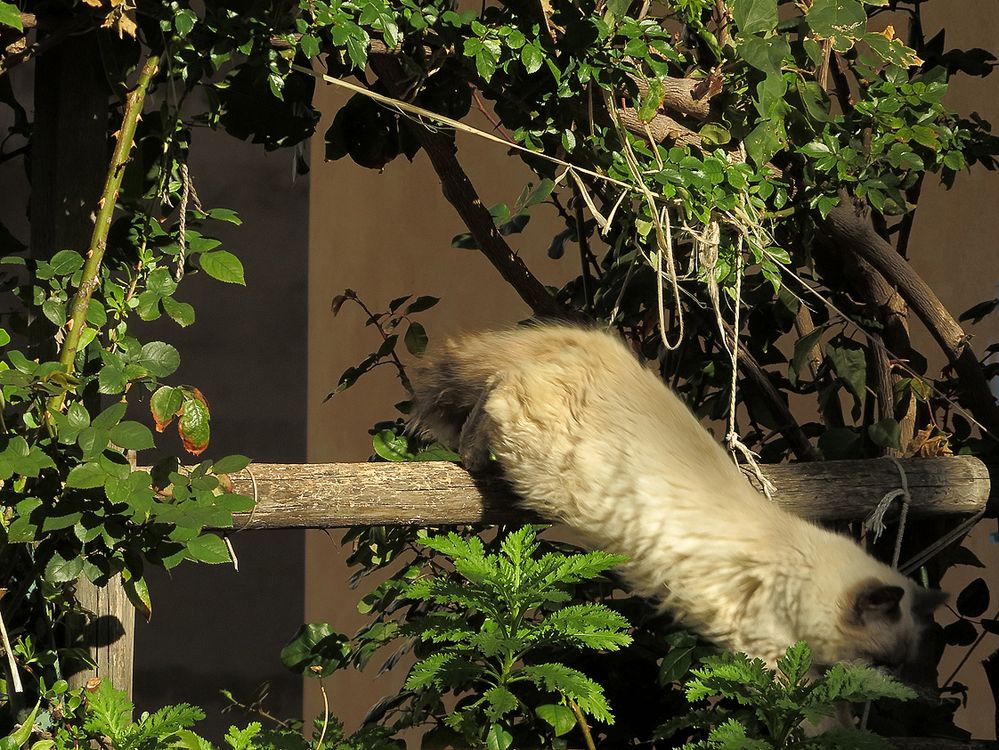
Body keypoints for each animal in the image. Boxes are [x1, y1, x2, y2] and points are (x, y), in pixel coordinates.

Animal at [412, 324, 944, 676]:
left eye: (900, 667)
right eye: (879, 662)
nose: (889, 688)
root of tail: (587, 341)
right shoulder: (768, 648)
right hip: (531, 442)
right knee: (495, 393)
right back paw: (471, 454)